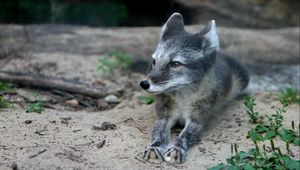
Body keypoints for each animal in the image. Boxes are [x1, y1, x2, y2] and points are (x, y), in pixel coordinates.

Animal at [139, 12, 250, 163]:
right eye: (154, 62)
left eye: (175, 63)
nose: (144, 84)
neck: (183, 99)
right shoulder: (164, 116)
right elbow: (158, 132)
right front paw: (154, 147)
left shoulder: (197, 120)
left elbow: (184, 136)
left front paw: (177, 148)